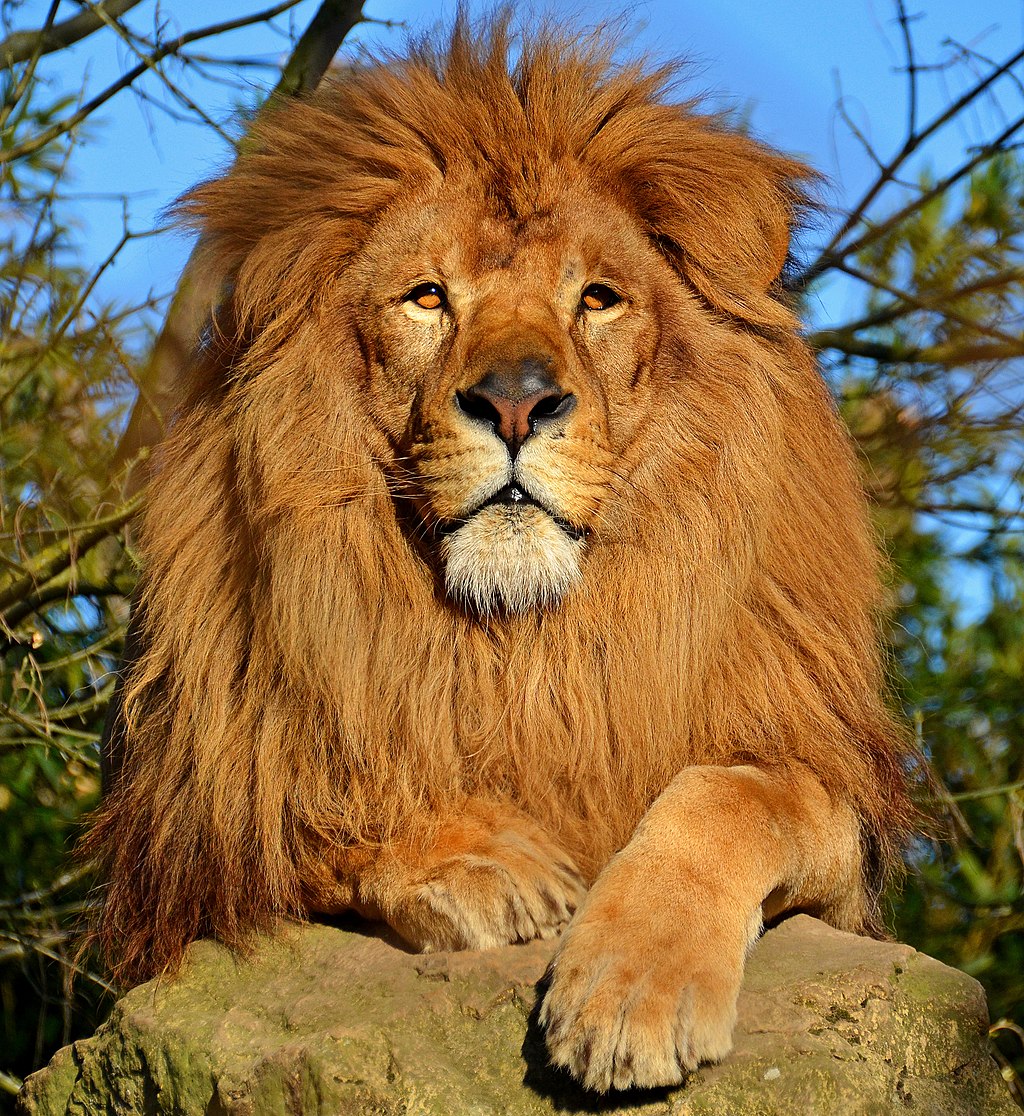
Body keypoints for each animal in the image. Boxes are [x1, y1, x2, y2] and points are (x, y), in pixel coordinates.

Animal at [87, 20, 916, 1093]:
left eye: (597, 299)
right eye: (427, 298)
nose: (517, 403)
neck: (524, 645)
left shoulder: (828, 809)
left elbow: (732, 795)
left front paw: (634, 989)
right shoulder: (195, 824)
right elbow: (311, 803)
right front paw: (487, 864)